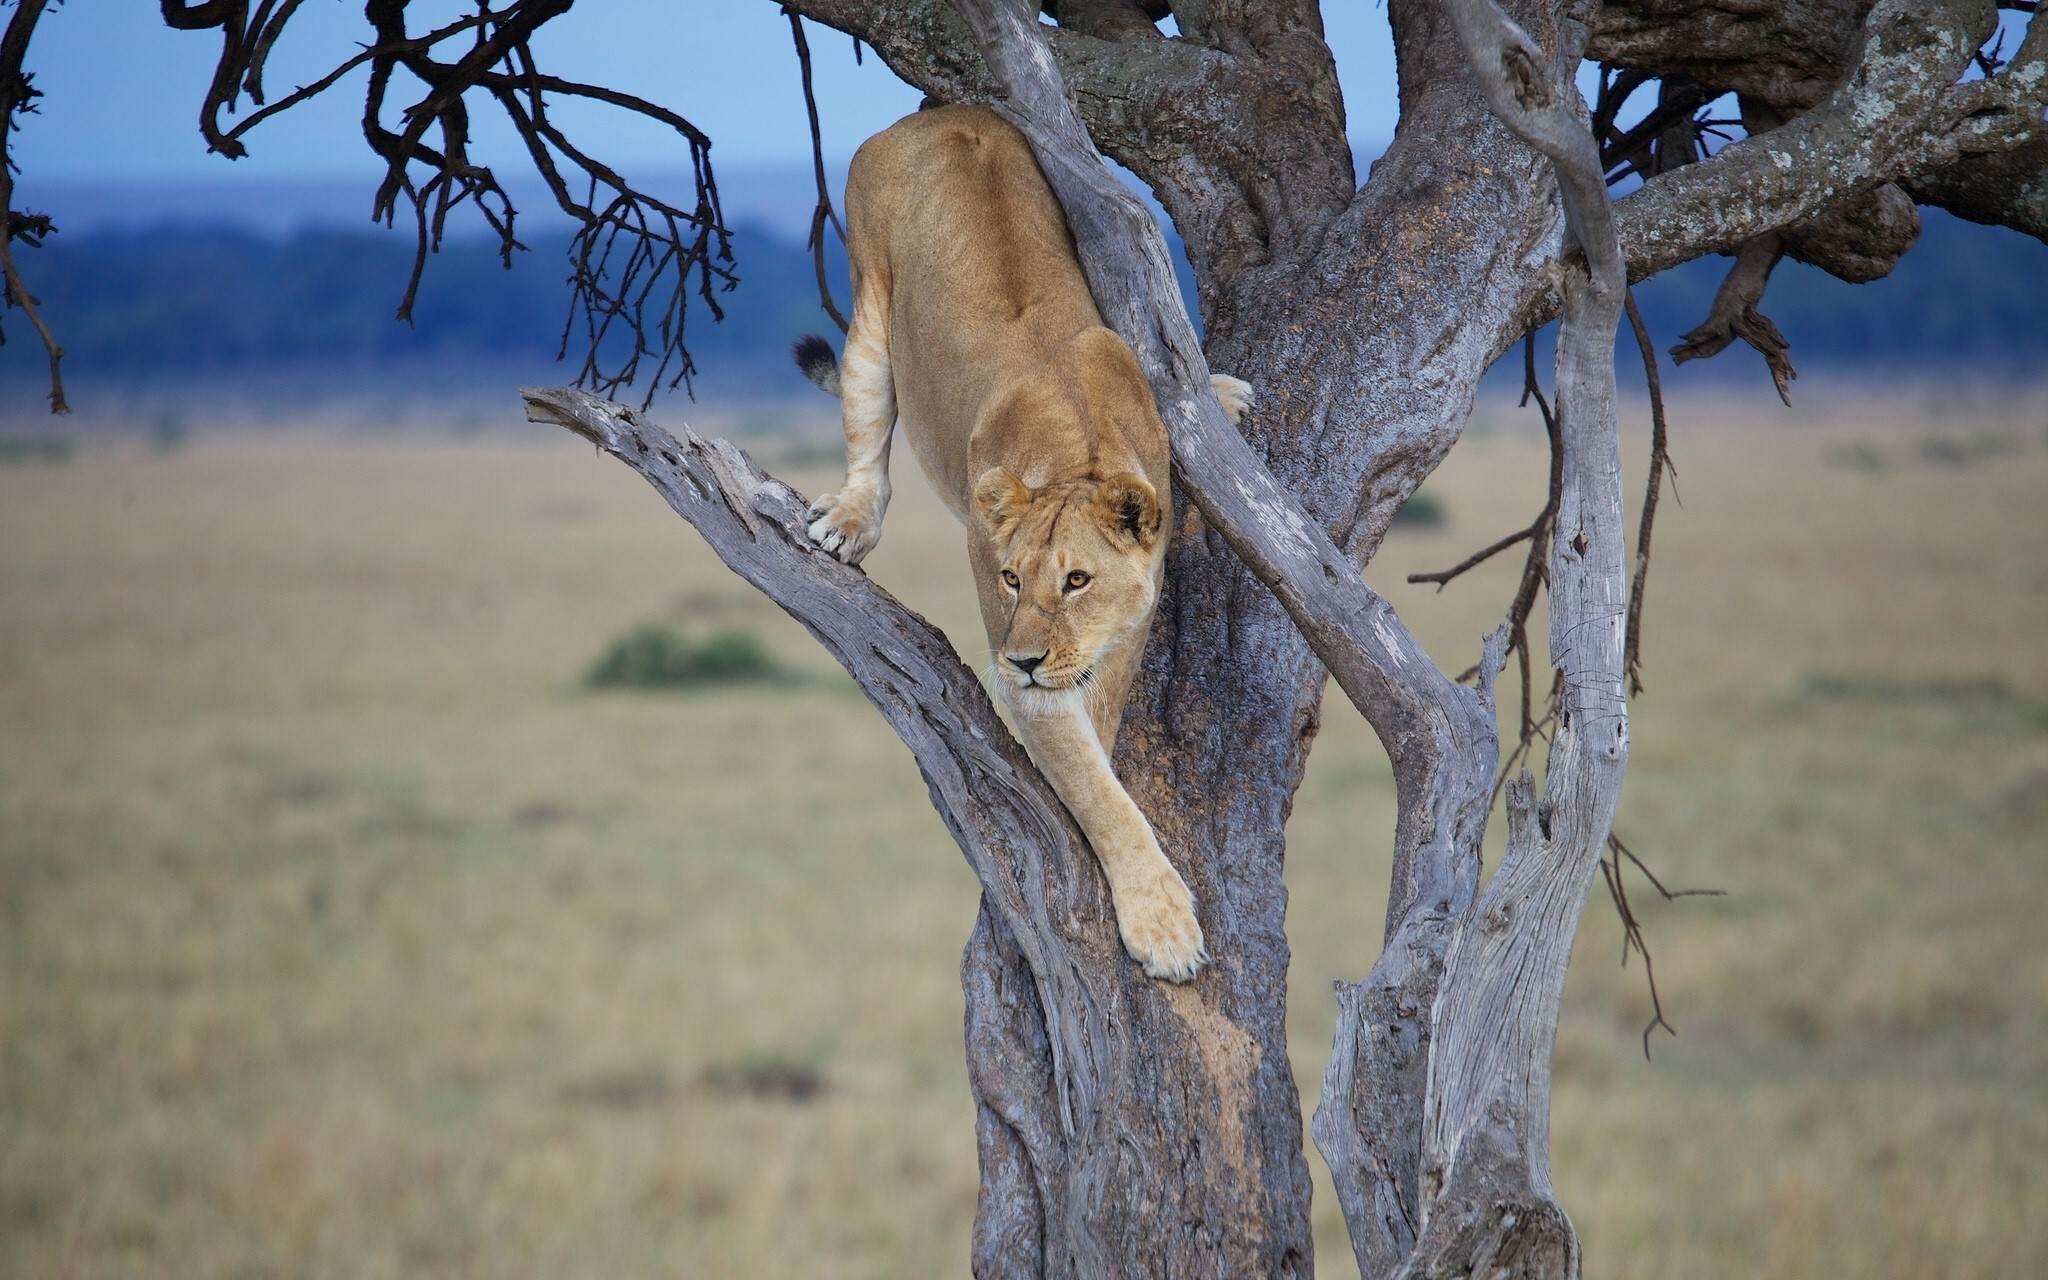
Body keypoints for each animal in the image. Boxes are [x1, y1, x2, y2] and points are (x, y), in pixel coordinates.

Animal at [793, 105, 1251, 982]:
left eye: (1076, 580)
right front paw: (1165, 927)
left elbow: (1100, 743)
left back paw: (1222, 390)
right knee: (870, 441)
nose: (1027, 659)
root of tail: (936, 112)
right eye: (1009, 579)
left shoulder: (1123, 632)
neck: (1079, 449)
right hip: (871, 313)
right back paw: (849, 519)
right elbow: (1098, 791)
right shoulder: (1025, 669)